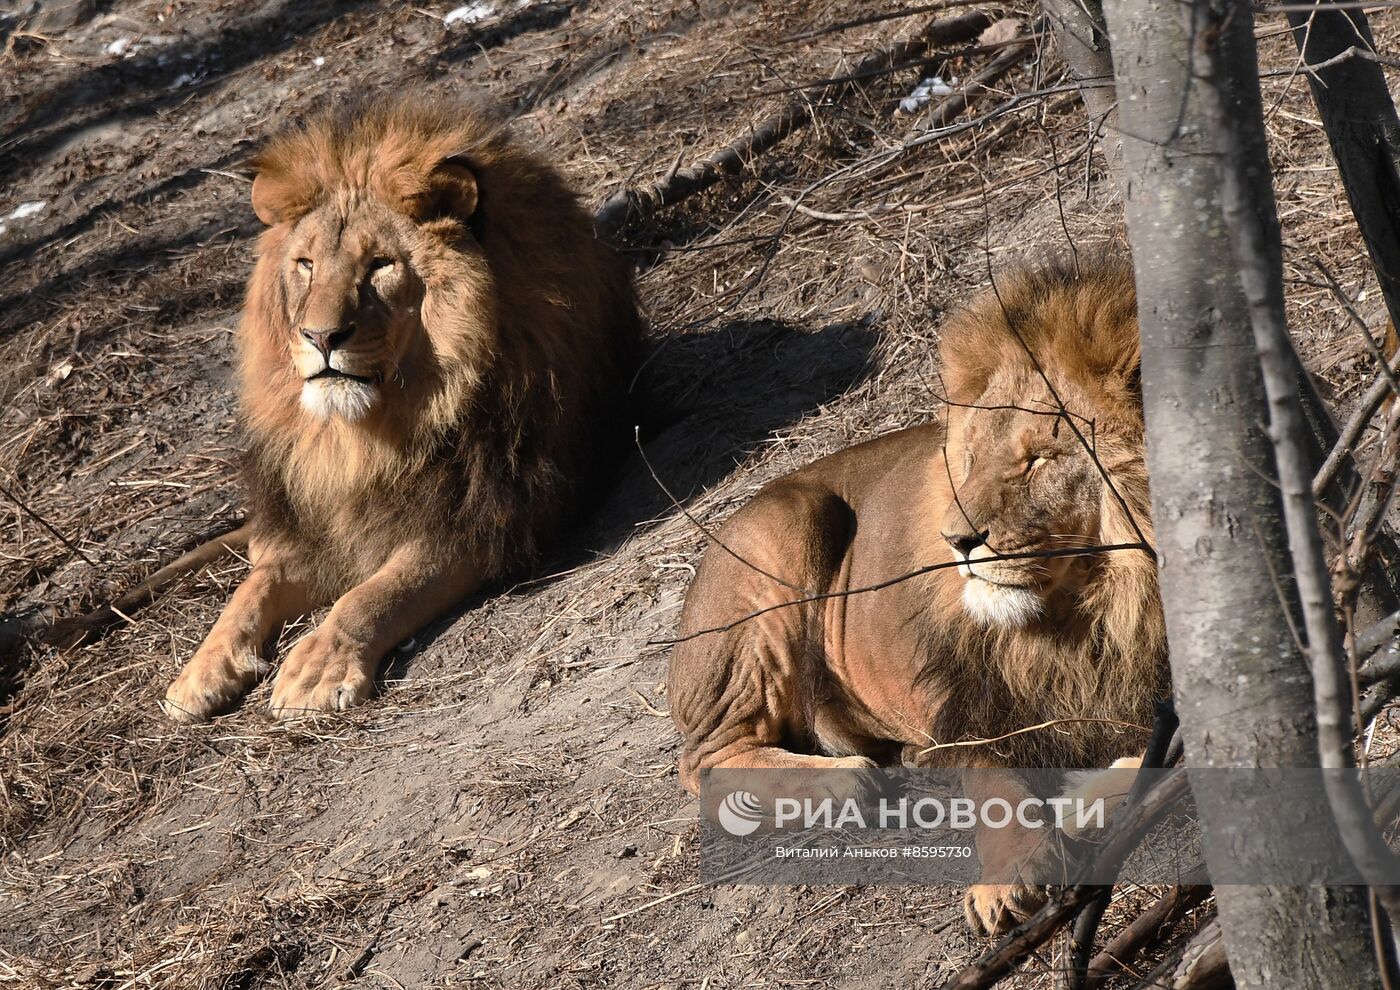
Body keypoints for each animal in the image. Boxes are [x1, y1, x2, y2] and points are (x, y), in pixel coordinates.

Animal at [161, 98, 641, 722]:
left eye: (381, 265)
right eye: (306, 264)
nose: (320, 336)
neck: (362, 439)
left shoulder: (482, 519)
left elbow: (375, 592)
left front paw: (317, 668)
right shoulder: (313, 526)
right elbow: (251, 589)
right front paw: (201, 670)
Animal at [666, 259, 1170, 935]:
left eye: (1038, 459)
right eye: (971, 459)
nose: (956, 540)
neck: (1092, 613)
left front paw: (1089, 801)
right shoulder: (976, 702)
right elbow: (994, 789)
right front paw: (1010, 876)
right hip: (788, 534)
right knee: (705, 758)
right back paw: (844, 783)